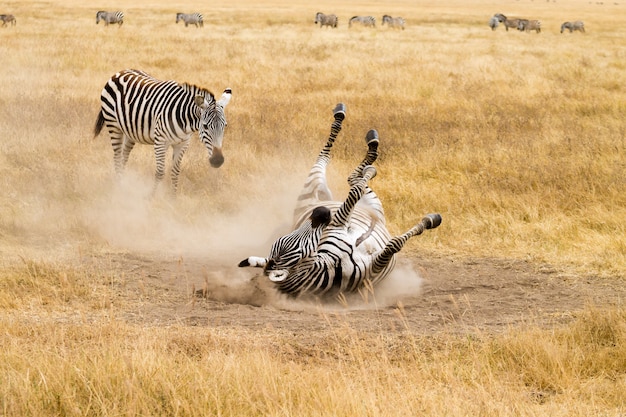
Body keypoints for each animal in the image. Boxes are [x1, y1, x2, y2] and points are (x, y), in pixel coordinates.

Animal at [95, 70, 234, 195]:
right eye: (205, 126)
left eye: (225, 126)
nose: (218, 161)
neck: (185, 122)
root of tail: (120, 72)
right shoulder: (160, 142)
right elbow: (160, 172)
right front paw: (152, 197)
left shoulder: (182, 144)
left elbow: (175, 171)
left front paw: (173, 198)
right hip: (113, 125)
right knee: (117, 157)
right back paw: (119, 187)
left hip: (130, 132)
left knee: (124, 157)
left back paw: (124, 182)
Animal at [236, 104, 442, 300]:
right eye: (300, 249)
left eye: (290, 238)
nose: (321, 212)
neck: (332, 264)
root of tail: (320, 198)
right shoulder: (371, 267)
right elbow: (394, 243)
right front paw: (432, 220)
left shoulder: (340, 225)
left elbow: (357, 194)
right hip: (316, 185)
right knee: (329, 163)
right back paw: (355, 136)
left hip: (368, 207)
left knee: (352, 179)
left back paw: (363, 141)